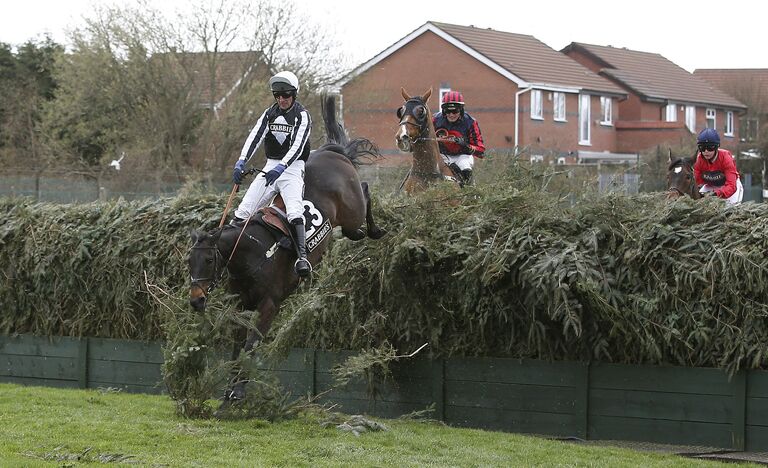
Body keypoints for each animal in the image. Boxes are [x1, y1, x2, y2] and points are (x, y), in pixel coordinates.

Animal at [189, 94, 388, 402]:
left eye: (209, 260)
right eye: (190, 262)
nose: (196, 300)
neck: (253, 255)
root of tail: (333, 152)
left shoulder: (269, 305)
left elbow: (251, 346)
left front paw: (238, 391)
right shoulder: (240, 307)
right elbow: (237, 348)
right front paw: (229, 389)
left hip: (352, 208)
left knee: (365, 190)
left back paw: (375, 229)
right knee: (355, 225)